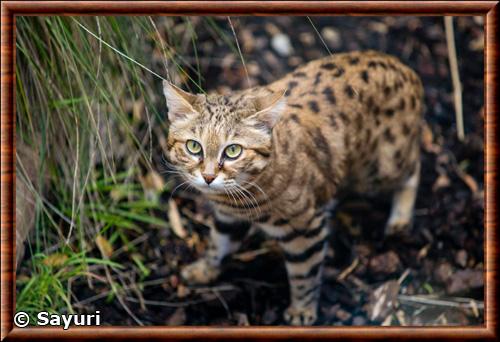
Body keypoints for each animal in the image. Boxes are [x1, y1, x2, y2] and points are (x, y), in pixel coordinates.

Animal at [163, 50, 422, 326]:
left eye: (233, 151)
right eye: (193, 146)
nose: (208, 176)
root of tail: (405, 69)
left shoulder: (305, 228)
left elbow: (304, 274)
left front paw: (301, 310)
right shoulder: (227, 216)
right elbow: (218, 243)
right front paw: (204, 270)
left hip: (381, 166)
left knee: (414, 167)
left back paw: (400, 220)